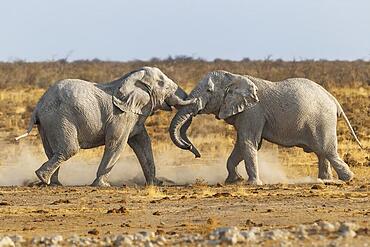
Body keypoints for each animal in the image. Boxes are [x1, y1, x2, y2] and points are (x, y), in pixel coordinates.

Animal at [15, 66, 194, 186]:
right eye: (164, 85)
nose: (191, 148)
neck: (131, 79)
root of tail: (38, 106)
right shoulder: (121, 115)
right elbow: (116, 143)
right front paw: (102, 185)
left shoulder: (134, 116)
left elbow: (143, 143)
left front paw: (156, 183)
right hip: (59, 118)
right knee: (69, 149)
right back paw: (43, 178)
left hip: (47, 123)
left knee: (52, 151)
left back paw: (53, 183)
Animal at [169, 70, 362, 184]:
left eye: (209, 91)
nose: (196, 153)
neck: (234, 77)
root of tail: (332, 98)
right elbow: (242, 145)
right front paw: (233, 181)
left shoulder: (253, 111)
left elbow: (248, 142)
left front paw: (252, 184)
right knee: (322, 152)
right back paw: (325, 180)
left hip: (323, 120)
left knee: (327, 150)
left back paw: (347, 179)